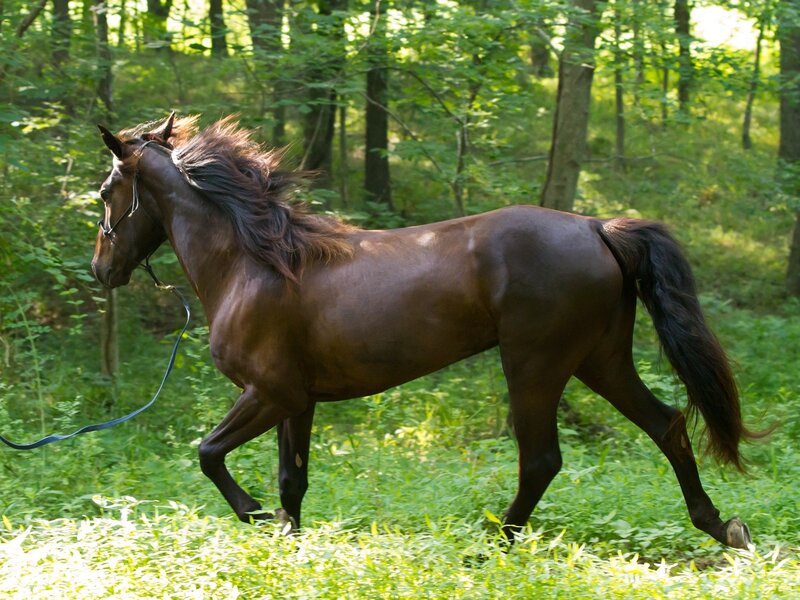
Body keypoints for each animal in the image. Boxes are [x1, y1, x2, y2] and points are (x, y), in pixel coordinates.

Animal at [91, 113, 754, 549]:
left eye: (105, 191)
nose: (101, 269)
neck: (252, 264)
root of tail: (597, 227)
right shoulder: (296, 401)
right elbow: (291, 482)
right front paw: (288, 540)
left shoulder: (269, 393)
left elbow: (209, 454)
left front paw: (253, 516)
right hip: (600, 360)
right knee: (667, 425)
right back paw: (722, 527)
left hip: (536, 365)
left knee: (542, 459)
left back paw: (495, 545)